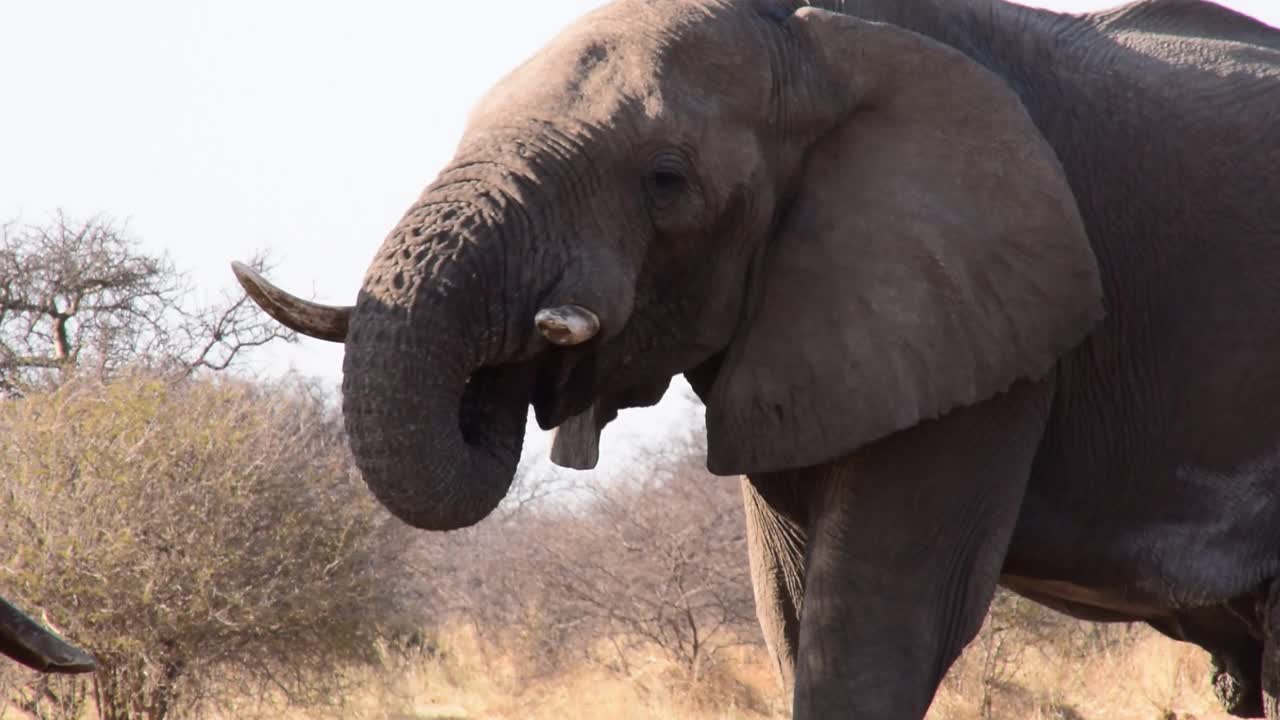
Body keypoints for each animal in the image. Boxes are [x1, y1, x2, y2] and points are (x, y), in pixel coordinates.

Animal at [230, 0, 1280, 712]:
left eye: (665, 180)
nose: (534, 357)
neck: (820, 39)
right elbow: (791, 610)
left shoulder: (996, 328)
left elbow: (876, 628)